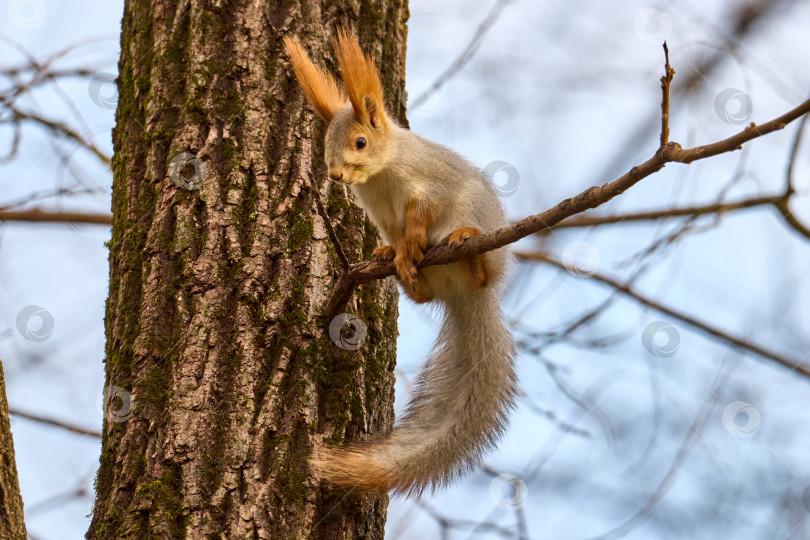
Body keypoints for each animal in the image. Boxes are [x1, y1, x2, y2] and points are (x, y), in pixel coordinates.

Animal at [280, 28, 516, 494]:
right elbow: (392, 235)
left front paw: (411, 245)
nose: (334, 175)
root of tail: (467, 297)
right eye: (324, 145)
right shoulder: (381, 215)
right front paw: (391, 253)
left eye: (360, 142)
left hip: (481, 235)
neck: (381, 175)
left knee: (482, 272)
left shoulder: (429, 188)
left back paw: (467, 245)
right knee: (424, 297)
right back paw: (408, 276)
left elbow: (421, 215)